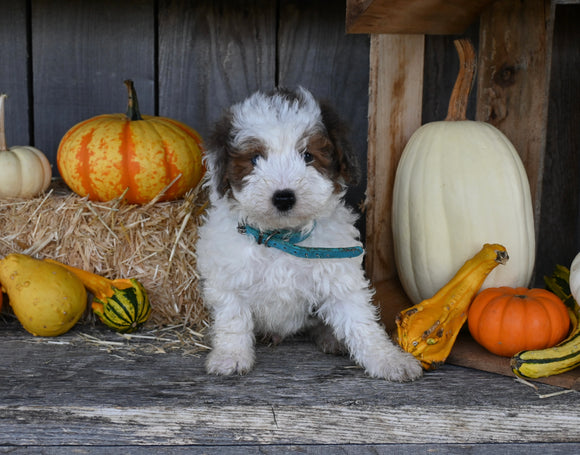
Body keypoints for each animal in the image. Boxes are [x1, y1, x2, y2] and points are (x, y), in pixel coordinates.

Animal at [195, 86, 422, 382]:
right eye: (255, 158)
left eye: (307, 156)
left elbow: (361, 321)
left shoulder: (338, 274)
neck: (280, 240)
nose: (283, 197)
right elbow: (233, 319)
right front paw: (230, 356)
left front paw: (388, 358)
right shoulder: (228, 278)